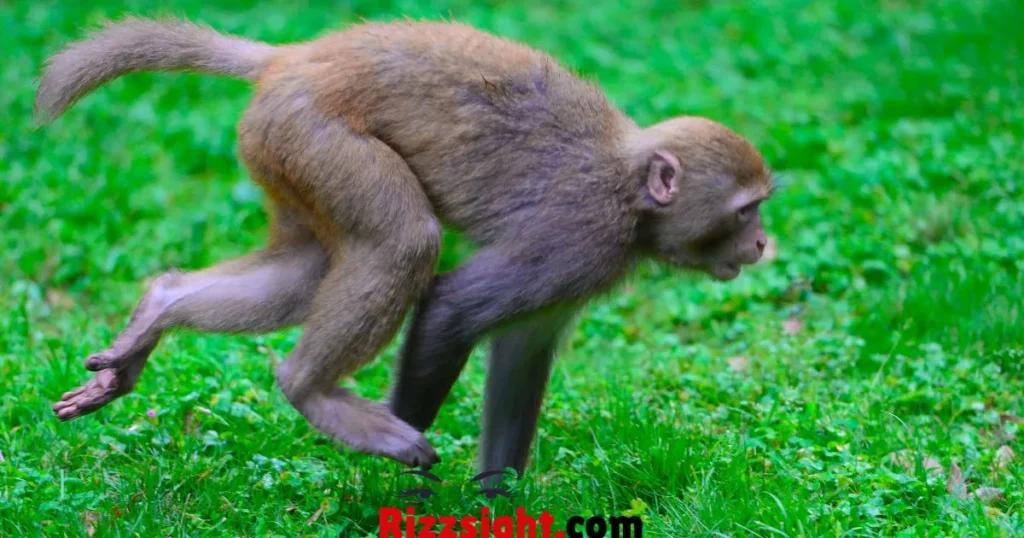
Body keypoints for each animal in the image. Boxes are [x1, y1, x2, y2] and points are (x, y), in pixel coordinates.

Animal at [35, 17, 773, 473]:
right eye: (745, 211)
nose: (764, 242)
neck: (631, 196)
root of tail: (293, 57)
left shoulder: (587, 265)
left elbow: (522, 349)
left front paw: (497, 499)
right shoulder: (579, 239)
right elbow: (453, 304)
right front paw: (396, 468)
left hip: (283, 156)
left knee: (306, 270)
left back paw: (160, 307)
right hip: (317, 136)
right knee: (404, 241)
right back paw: (314, 393)